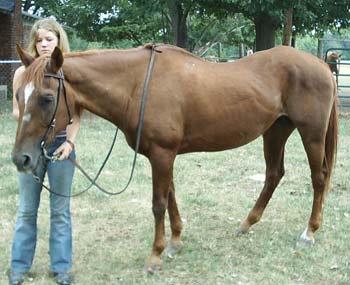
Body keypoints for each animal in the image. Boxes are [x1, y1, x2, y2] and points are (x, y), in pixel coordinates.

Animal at [12, 43, 338, 272]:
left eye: (47, 98)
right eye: (18, 95)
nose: (21, 159)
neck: (138, 85)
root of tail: (322, 65)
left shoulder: (162, 154)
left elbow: (158, 203)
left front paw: (155, 256)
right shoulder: (162, 155)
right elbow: (170, 197)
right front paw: (175, 241)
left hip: (310, 134)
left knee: (318, 178)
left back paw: (309, 232)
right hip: (275, 131)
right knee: (273, 175)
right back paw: (247, 223)